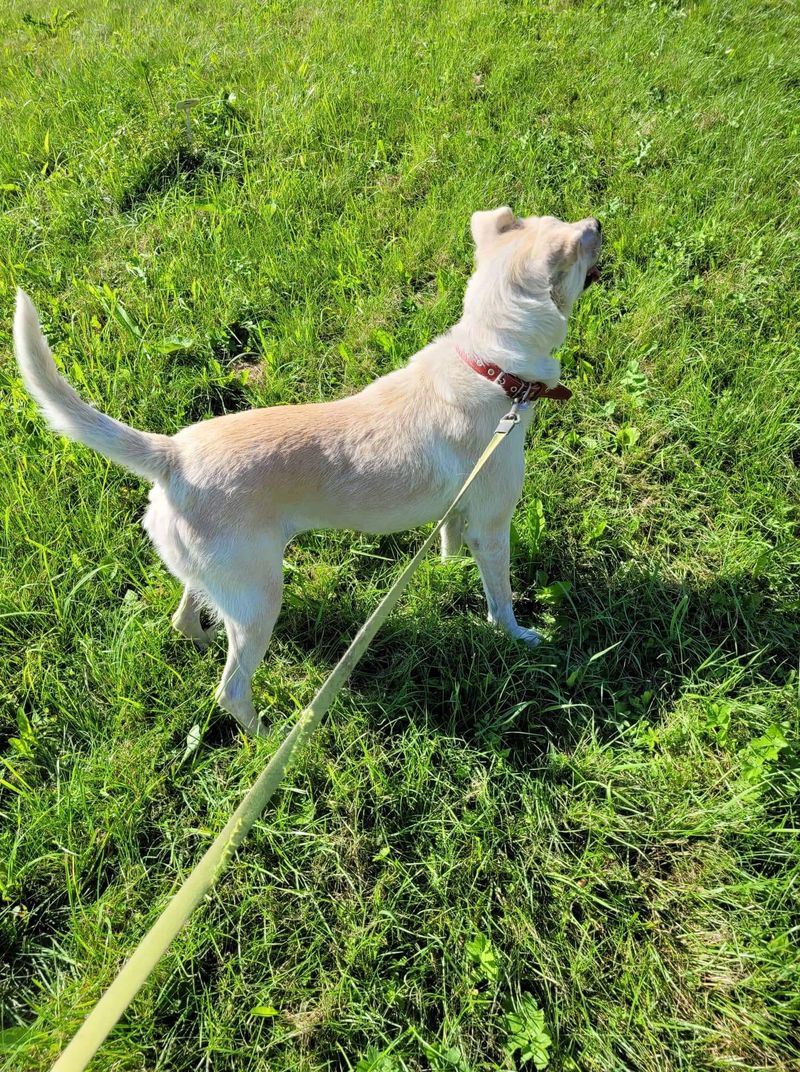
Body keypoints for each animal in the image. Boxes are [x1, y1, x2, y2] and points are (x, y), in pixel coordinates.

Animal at [14, 207, 601, 736]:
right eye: (577, 239)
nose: (597, 223)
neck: (489, 362)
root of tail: (172, 455)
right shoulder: (494, 525)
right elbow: (499, 597)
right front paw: (518, 637)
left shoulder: (461, 512)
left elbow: (449, 542)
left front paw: (447, 570)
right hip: (259, 601)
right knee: (230, 690)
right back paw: (270, 736)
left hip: (217, 580)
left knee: (185, 617)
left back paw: (205, 639)